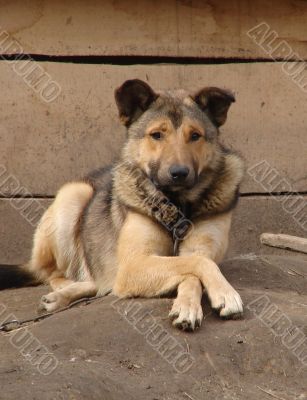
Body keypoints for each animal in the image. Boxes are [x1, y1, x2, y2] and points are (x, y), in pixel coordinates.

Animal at [0, 79, 245, 332]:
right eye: (157, 135)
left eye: (195, 136)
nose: (179, 173)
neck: (175, 207)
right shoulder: (133, 265)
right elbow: (197, 263)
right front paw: (225, 293)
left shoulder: (199, 248)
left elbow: (195, 267)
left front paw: (191, 304)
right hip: (73, 196)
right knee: (54, 274)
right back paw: (62, 294)